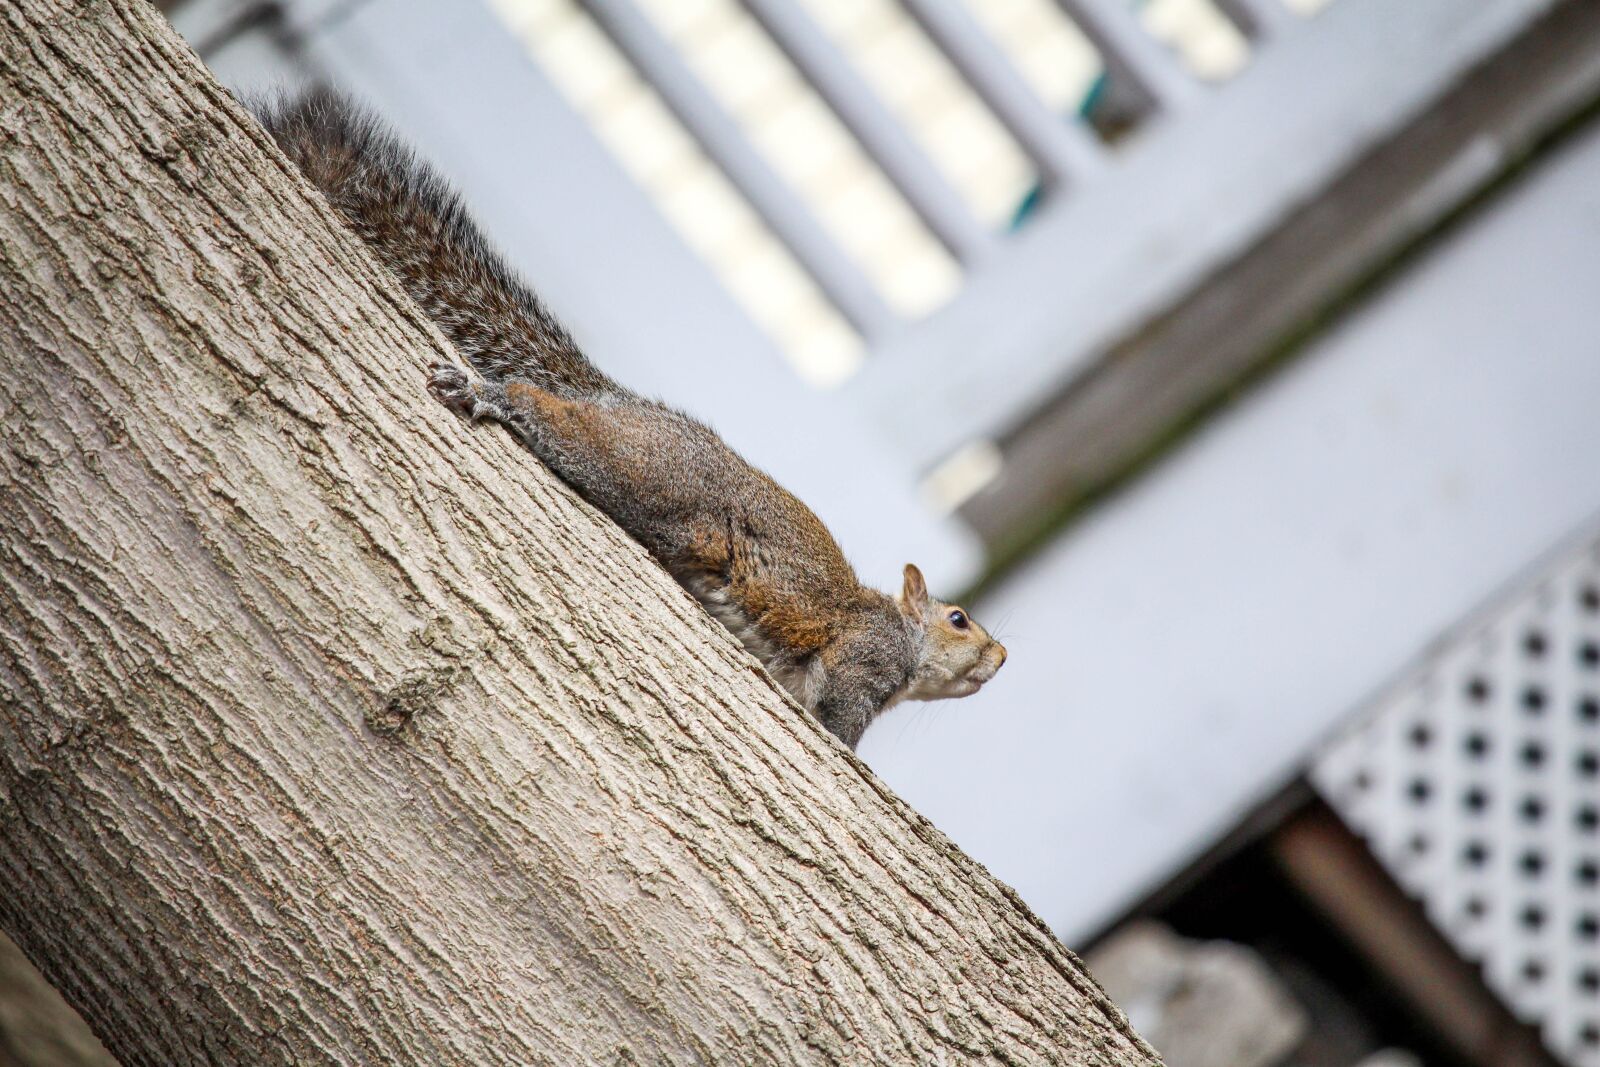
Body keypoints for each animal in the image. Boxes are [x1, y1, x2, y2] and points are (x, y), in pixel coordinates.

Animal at [256, 90, 1006, 748]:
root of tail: (620, 402)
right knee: (557, 421)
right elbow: (840, 720)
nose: (1002, 659)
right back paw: (494, 394)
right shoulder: (862, 660)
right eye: (960, 619)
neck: (904, 639)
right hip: (648, 476)